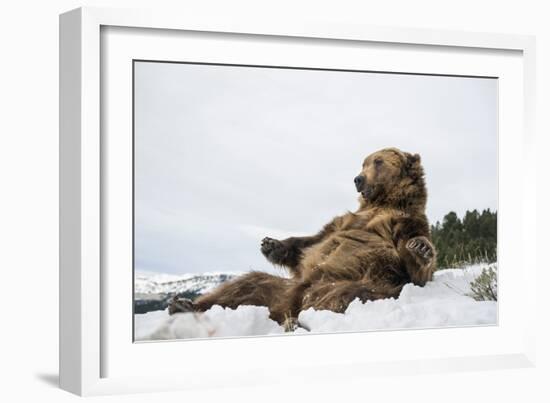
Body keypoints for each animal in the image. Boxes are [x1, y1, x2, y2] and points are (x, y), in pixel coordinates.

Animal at [170, 148, 438, 328]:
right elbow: (312, 242)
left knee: (344, 295)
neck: (384, 203)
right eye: (364, 163)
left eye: (379, 161)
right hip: (277, 287)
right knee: (245, 284)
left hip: (353, 282)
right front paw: (271, 244)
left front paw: (420, 248)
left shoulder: (404, 223)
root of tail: (286, 304)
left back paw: (297, 322)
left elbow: (413, 268)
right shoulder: (345, 221)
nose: (358, 179)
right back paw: (185, 305)